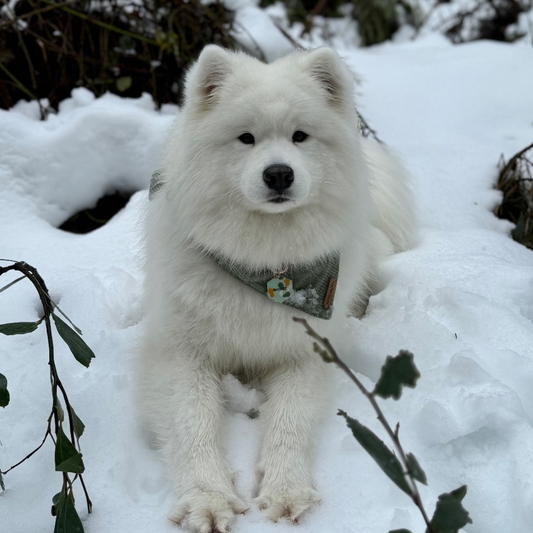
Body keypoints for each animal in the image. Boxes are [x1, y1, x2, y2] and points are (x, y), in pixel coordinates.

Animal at [137, 45, 416, 532]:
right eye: (245, 138)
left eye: (300, 136)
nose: (279, 174)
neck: (266, 264)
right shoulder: (178, 356)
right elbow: (193, 425)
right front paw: (208, 500)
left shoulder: (303, 354)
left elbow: (290, 423)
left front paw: (287, 492)